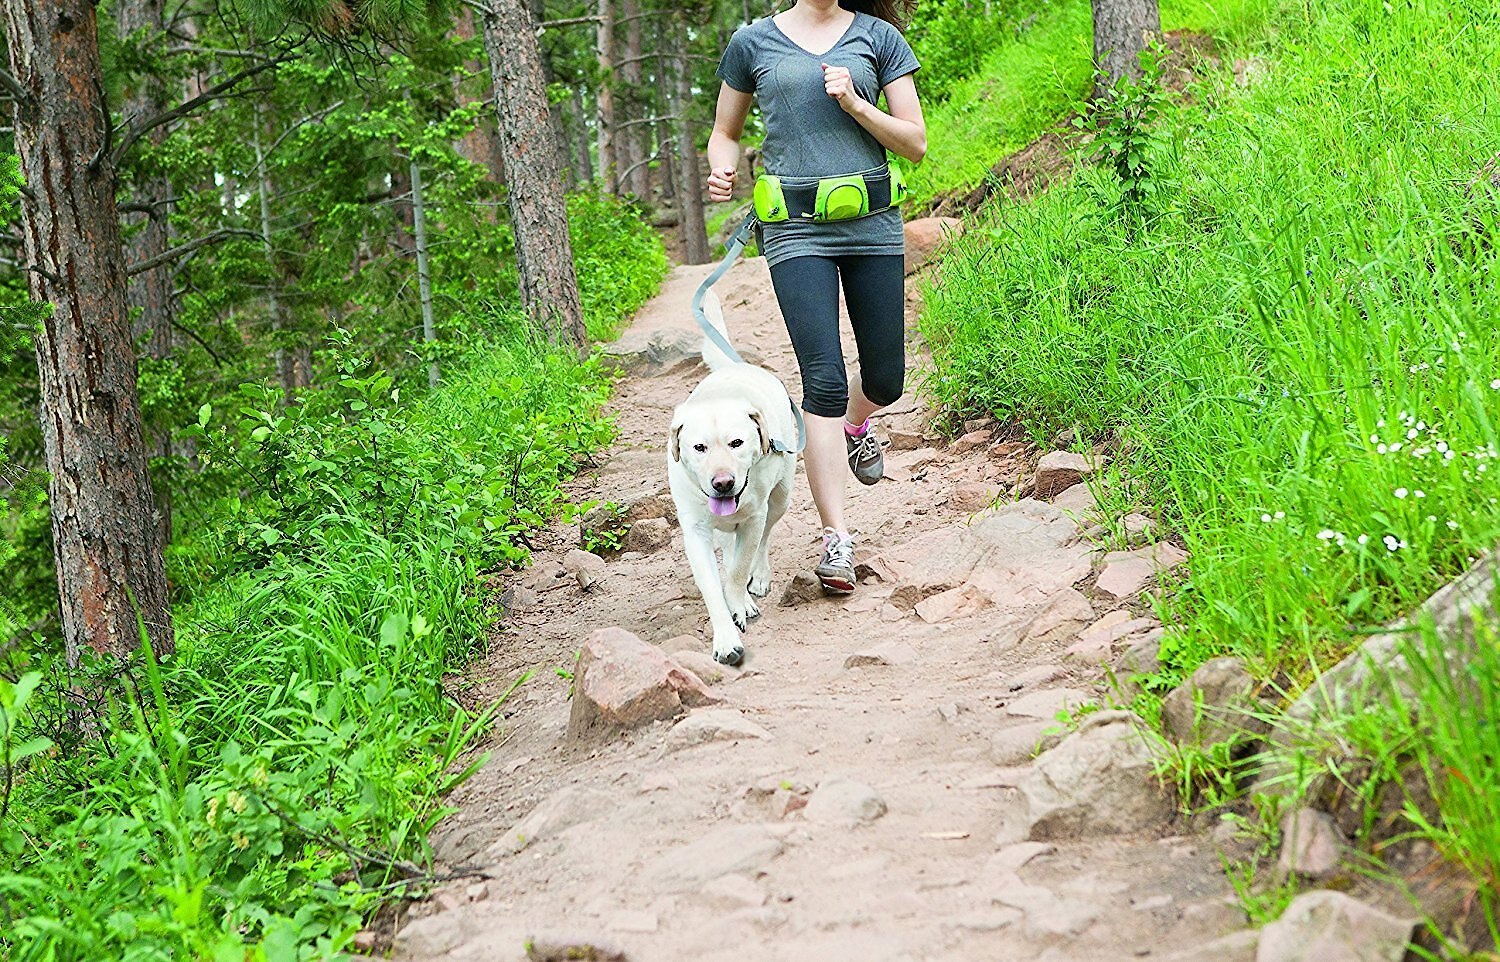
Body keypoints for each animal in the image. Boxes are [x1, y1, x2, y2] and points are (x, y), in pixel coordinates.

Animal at [672, 288, 804, 663]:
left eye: (737, 443)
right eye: (699, 447)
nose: (723, 483)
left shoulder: (755, 515)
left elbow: (737, 570)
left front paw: (740, 599)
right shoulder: (696, 532)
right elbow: (713, 586)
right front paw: (725, 638)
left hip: (780, 498)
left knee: (762, 539)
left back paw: (757, 579)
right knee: (731, 546)